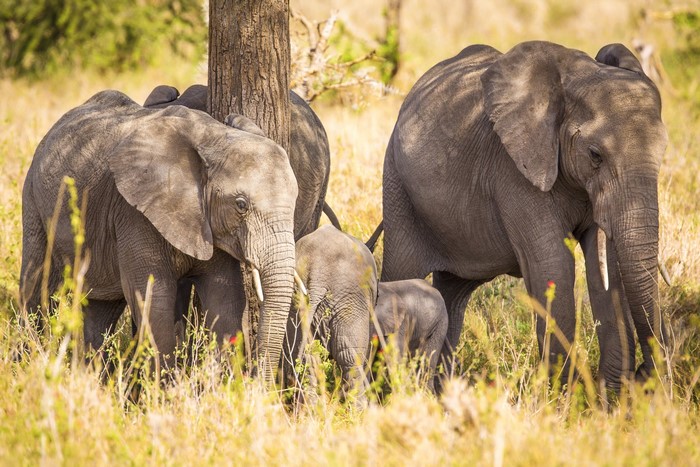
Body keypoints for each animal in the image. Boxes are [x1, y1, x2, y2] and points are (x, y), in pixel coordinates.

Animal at [20, 90, 298, 382]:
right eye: (241, 205)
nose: (261, 382)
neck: (214, 137)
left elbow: (226, 298)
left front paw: (221, 385)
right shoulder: (133, 211)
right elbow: (155, 299)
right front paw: (168, 388)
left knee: (101, 309)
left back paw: (92, 380)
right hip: (34, 199)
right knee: (37, 284)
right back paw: (30, 362)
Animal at [380, 41, 668, 391]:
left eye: (662, 153)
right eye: (595, 155)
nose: (642, 374)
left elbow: (604, 268)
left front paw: (608, 398)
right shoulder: (513, 171)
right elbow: (553, 264)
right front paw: (563, 398)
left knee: (453, 292)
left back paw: (440, 391)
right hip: (398, 188)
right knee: (401, 272)